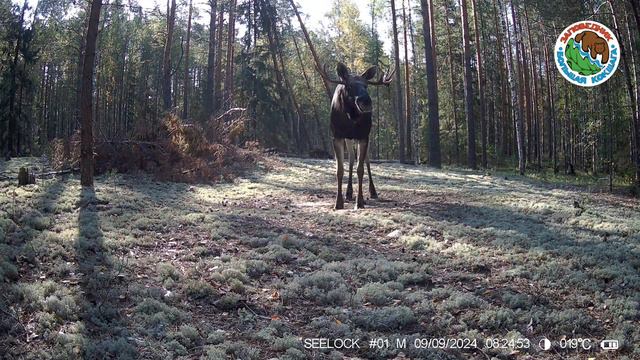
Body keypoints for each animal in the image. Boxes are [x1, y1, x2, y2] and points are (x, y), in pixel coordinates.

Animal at [320, 61, 396, 208]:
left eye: (366, 85)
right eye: (349, 86)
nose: (366, 101)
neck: (351, 118)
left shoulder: (364, 136)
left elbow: (360, 169)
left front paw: (360, 201)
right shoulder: (336, 136)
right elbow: (340, 169)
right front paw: (338, 202)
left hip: (364, 137)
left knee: (366, 160)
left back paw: (372, 191)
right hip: (349, 139)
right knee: (351, 159)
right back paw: (348, 193)